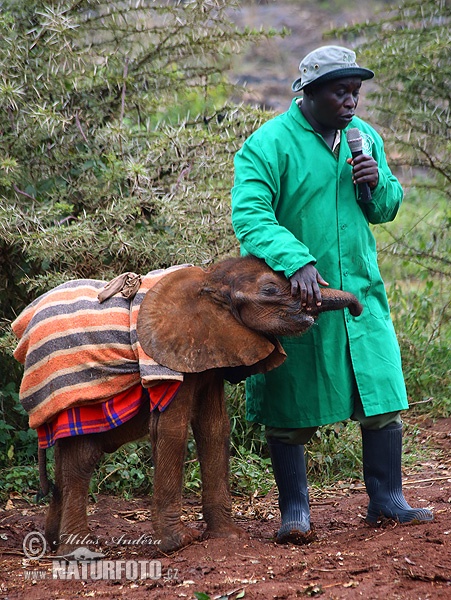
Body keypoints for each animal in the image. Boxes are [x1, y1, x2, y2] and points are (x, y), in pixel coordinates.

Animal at [12, 253, 362, 552]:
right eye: (270, 290)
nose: (358, 310)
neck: (210, 280)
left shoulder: (212, 346)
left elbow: (214, 428)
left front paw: (229, 537)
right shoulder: (173, 356)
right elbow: (172, 429)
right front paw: (179, 543)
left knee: (64, 460)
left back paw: (53, 544)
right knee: (81, 458)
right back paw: (80, 551)